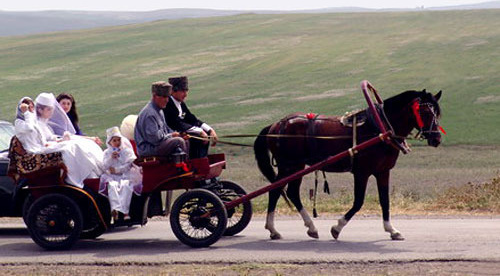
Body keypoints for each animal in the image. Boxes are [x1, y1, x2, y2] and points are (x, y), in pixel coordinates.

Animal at [254, 88, 442, 239]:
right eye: (425, 112)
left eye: (438, 113)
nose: (437, 138)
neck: (380, 130)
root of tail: (276, 125)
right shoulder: (362, 172)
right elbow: (358, 201)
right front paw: (337, 228)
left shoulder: (383, 171)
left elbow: (385, 200)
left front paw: (392, 230)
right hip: (290, 165)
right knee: (279, 191)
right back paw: (282, 229)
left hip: (293, 167)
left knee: (286, 191)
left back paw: (298, 229)